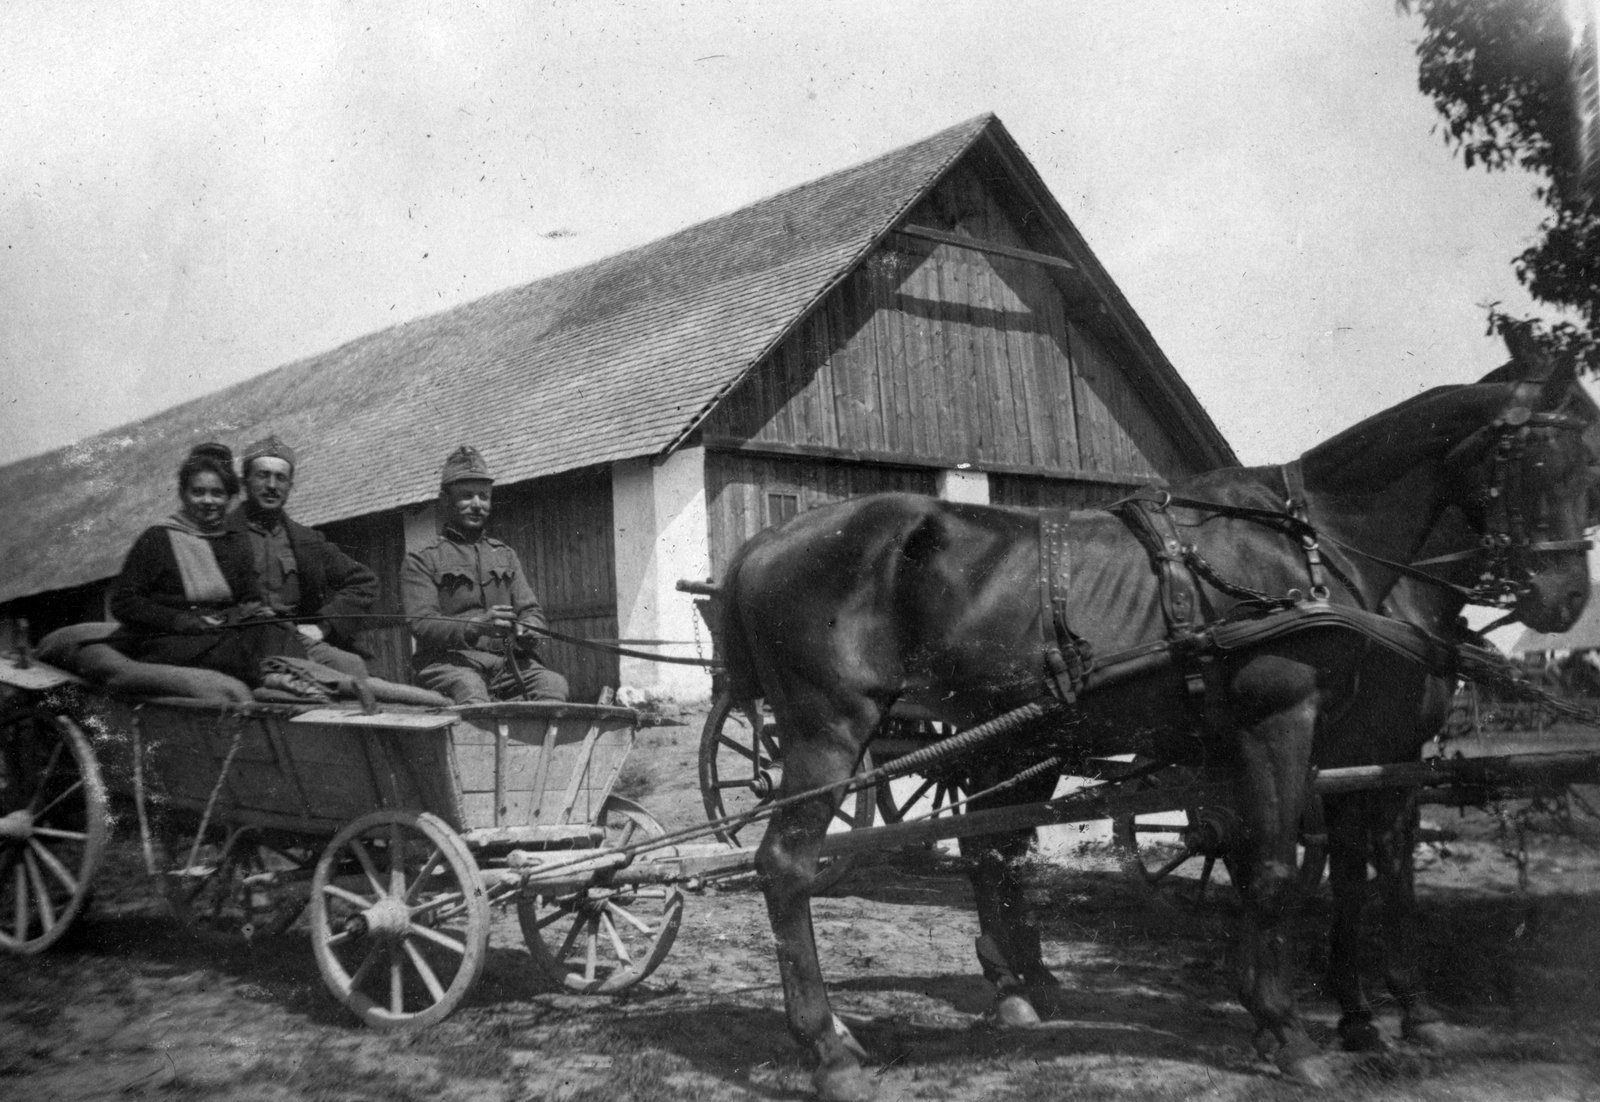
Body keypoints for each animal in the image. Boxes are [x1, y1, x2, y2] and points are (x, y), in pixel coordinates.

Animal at [729, 350, 1600, 1094]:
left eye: (1587, 466)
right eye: (1538, 464)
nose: (1564, 600)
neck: (1306, 551)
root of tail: (769, 538)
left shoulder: (1312, 749)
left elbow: (1291, 864)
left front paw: (1313, 1017)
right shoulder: (1283, 723)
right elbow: (1282, 870)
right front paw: (1300, 1034)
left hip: (1015, 739)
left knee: (992, 850)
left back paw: (1014, 991)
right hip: (831, 736)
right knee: (788, 866)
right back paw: (831, 1048)